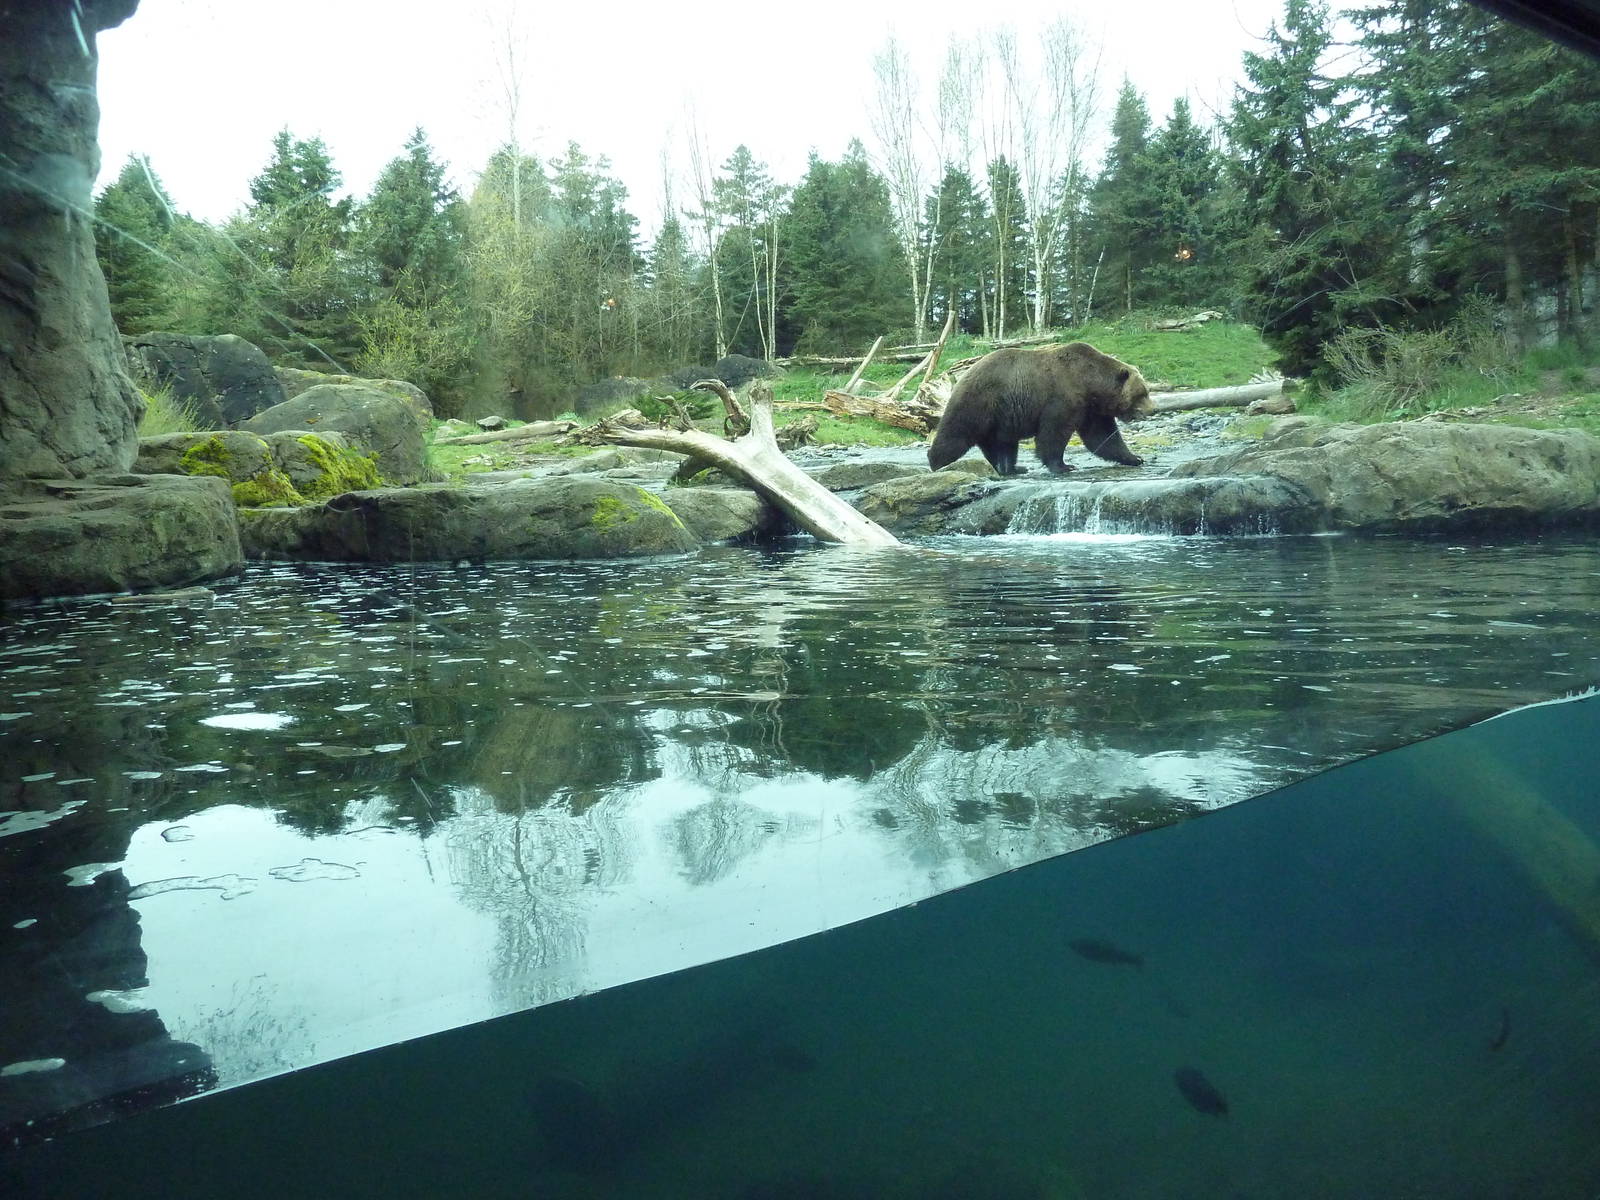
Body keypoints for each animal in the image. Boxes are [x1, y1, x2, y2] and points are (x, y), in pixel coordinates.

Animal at [926, 341, 1154, 476]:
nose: (1153, 410)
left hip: (1002, 416)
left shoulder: (1091, 410)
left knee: (1001, 443)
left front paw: (1135, 458)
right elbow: (1053, 433)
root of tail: (964, 374)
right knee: (956, 434)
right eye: (1142, 393)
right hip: (978, 402)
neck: (1089, 383)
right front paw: (1063, 466)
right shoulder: (1062, 397)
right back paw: (937, 464)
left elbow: (1103, 437)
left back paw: (1013, 468)